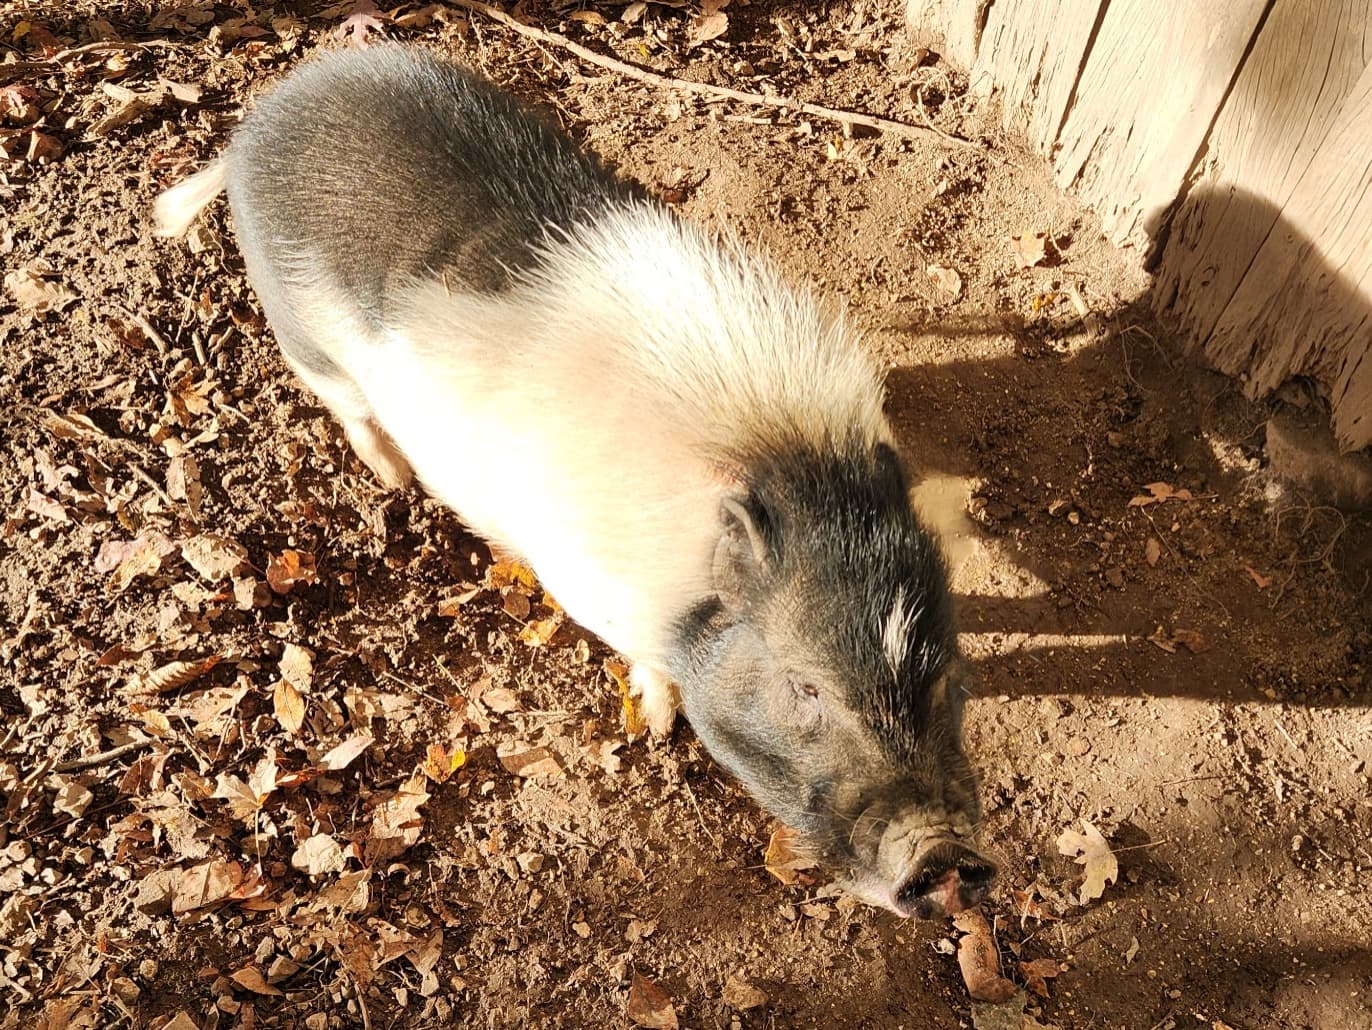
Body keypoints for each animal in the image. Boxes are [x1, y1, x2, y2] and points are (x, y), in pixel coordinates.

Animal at [155, 45, 994, 918]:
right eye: (805, 688)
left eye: (943, 667)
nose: (947, 856)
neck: (786, 456)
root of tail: (256, 126)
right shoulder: (597, 591)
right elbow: (648, 665)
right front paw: (654, 723)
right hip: (303, 337)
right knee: (346, 404)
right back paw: (391, 475)